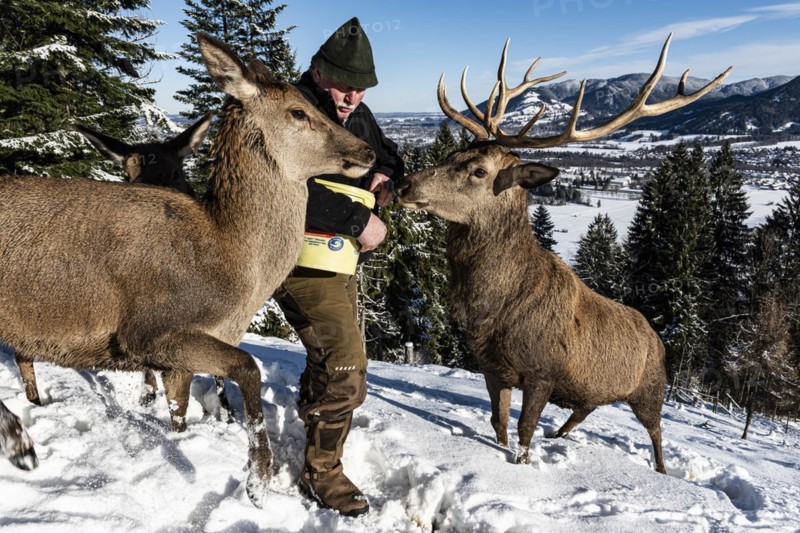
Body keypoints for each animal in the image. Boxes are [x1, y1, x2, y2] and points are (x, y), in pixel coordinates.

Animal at [0, 33, 375, 506]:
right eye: (298, 111)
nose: (366, 150)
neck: (231, 266)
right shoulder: (150, 329)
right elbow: (247, 367)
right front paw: (258, 479)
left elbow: (180, 411)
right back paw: (21, 444)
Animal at [398, 34, 731, 473]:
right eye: (452, 154)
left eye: (479, 171)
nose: (405, 184)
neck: (492, 309)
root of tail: (658, 340)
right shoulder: (491, 366)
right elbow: (498, 422)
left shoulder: (543, 371)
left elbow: (524, 432)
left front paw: (521, 464)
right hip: (600, 390)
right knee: (585, 408)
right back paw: (559, 435)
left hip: (650, 388)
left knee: (656, 431)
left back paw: (660, 470)